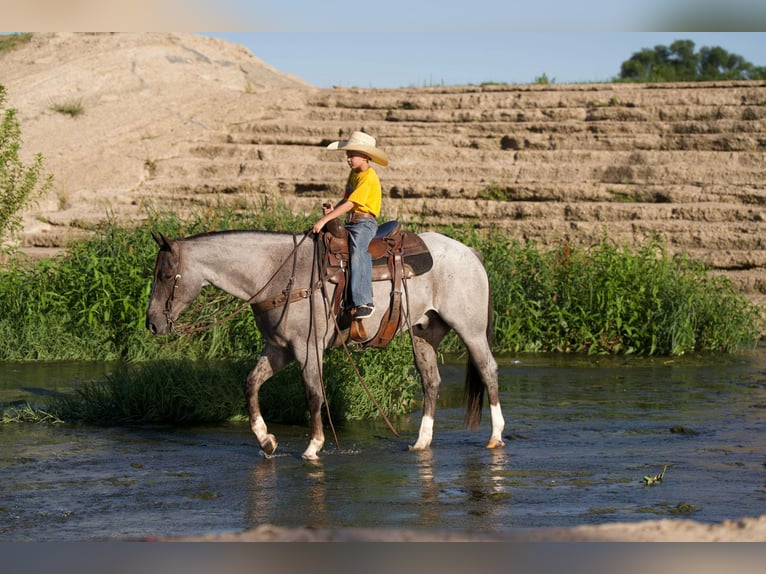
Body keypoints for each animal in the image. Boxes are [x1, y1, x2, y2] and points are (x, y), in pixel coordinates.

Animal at [145, 228, 505, 460]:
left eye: (165, 275)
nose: (152, 323)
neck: (277, 273)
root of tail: (468, 252)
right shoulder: (278, 349)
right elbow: (250, 384)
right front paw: (266, 440)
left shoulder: (307, 348)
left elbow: (314, 394)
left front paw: (313, 446)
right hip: (423, 334)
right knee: (431, 381)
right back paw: (421, 442)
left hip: (470, 330)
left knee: (488, 370)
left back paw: (496, 436)